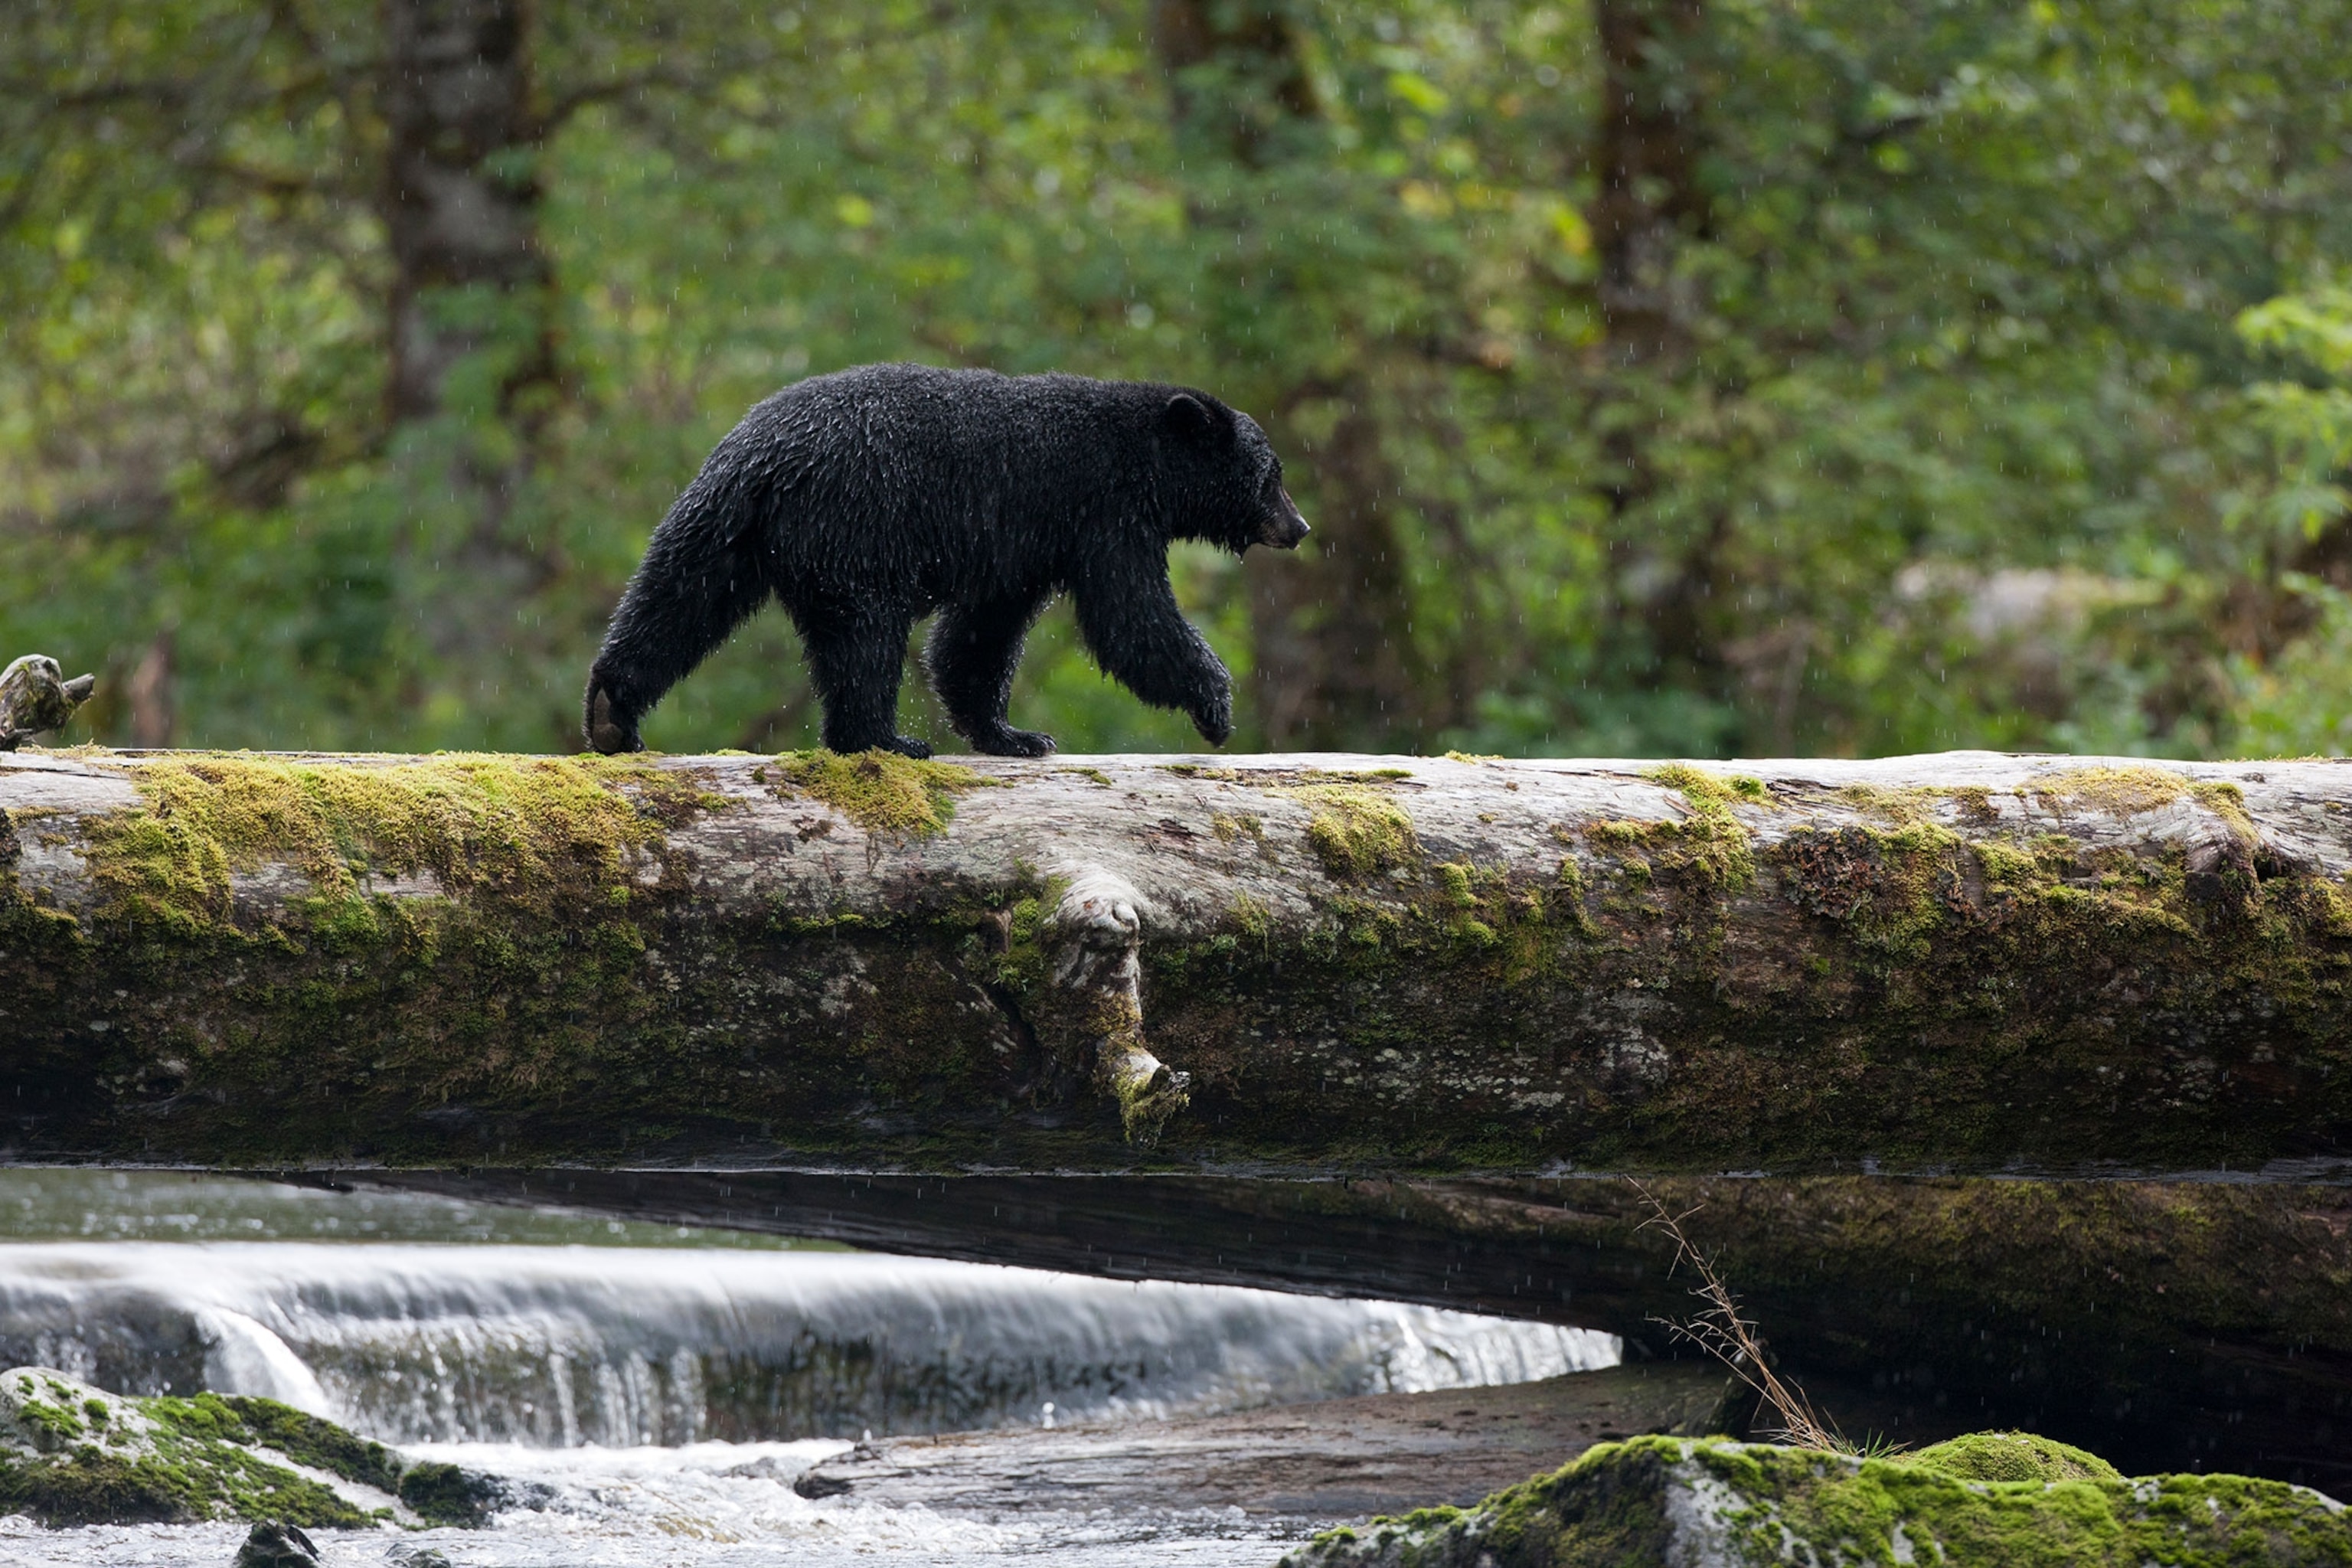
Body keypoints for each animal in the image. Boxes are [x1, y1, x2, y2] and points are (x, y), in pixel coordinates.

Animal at [583, 362, 1310, 758]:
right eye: (1271, 475)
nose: (1299, 526)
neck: (1145, 459)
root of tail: (763, 458)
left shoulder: (1025, 540)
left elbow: (981, 634)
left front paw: (1014, 734)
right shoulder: (1102, 513)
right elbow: (1131, 616)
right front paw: (1213, 704)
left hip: (723, 526)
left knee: (676, 598)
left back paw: (612, 714)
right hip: (857, 529)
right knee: (865, 636)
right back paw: (885, 738)